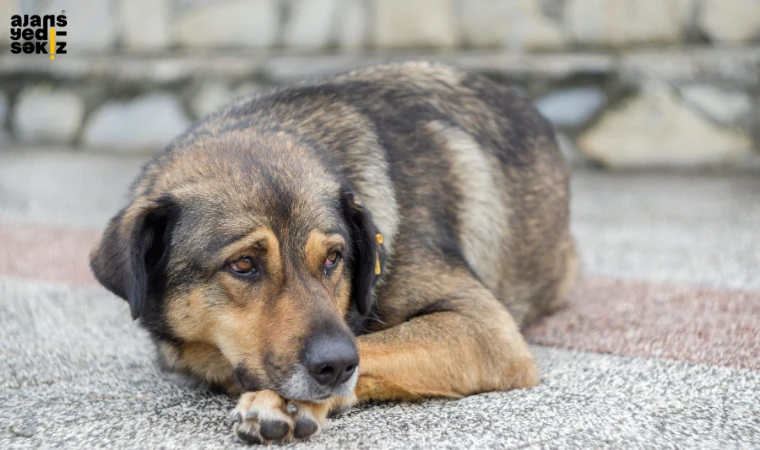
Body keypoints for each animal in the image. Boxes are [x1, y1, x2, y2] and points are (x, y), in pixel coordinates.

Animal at [89, 61, 576, 444]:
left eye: (332, 259)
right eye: (243, 264)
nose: (337, 365)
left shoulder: (485, 326)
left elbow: (373, 344)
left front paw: (283, 402)